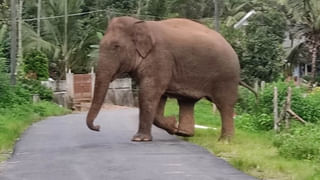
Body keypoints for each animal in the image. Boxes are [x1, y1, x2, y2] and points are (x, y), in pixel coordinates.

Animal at [86, 15, 241, 142]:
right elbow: (158, 97)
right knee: (187, 102)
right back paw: (184, 133)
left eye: (116, 46)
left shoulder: (160, 58)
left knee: (224, 105)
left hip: (227, 76)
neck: (141, 24)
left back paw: (225, 141)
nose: (98, 127)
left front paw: (140, 139)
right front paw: (173, 125)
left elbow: (149, 92)